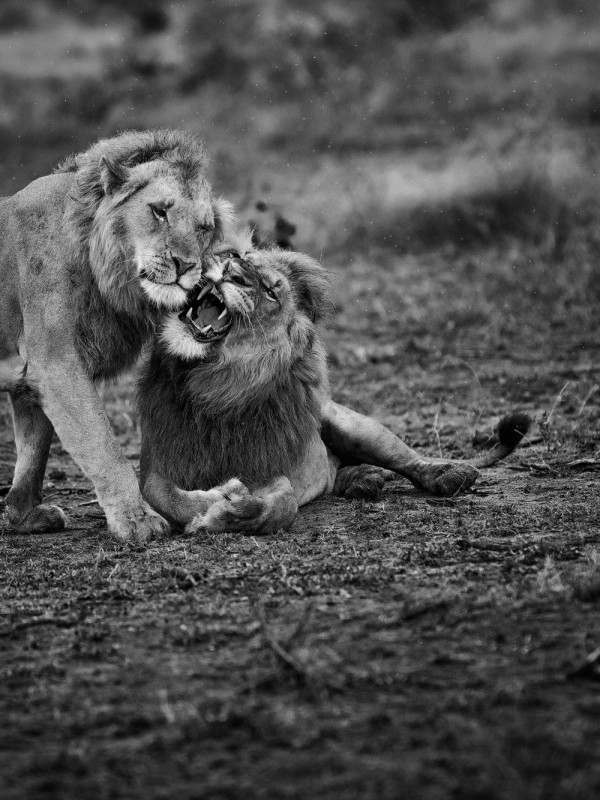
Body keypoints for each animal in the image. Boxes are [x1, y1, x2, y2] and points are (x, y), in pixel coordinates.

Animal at [0, 129, 234, 541]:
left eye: (204, 228)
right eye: (160, 211)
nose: (185, 265)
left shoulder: (31, 373)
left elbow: (34, 448)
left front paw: (22, 515)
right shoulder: (56, 363)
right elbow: (102, 444)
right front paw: (136, 519)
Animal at [138, 233, 529, 534]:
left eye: (271, 292)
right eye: (236, 257)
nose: (233, 271)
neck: (216, 383)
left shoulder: (269, 467)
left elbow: (283, 504)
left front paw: (231, 512)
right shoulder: (157, 464)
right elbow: (165, 495)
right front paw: (213, 503)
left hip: (356, 426)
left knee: (410, 460)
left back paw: (448, 474)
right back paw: (361, 480)